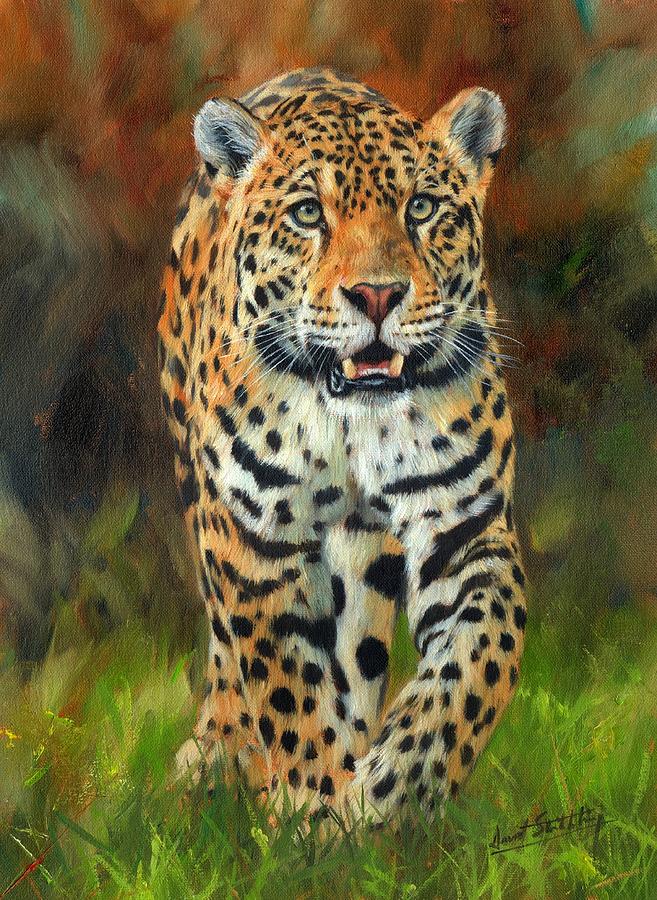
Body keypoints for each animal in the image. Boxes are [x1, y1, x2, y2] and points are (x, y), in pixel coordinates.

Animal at [157, 66, 526, 826]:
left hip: (362, 568)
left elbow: (478, 661)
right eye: (307, 214)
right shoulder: (256, 545)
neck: (353, 417)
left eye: (421, 207)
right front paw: (312, 811)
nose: (377, 296)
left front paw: (395, 786)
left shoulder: (465, 529)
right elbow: (287, 690)